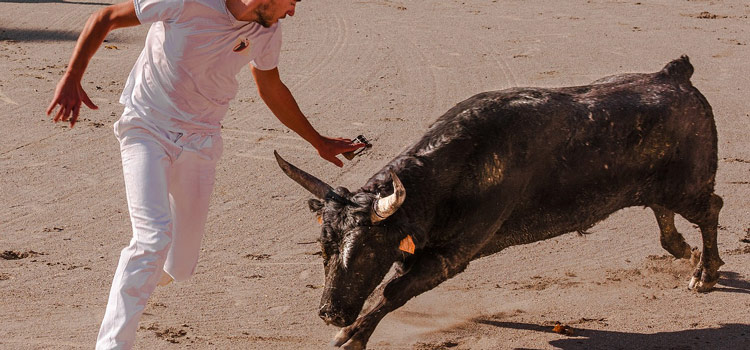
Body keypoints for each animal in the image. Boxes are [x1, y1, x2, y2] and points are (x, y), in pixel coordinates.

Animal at [274, 56, 724, 348]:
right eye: (323, 249)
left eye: (368, 251)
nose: (329, 313)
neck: (451, 171)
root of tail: (674, 75)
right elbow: (393, 285)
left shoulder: (452, 255)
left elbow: (393, 290)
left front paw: (351, 336)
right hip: (660, 187)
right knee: (667, 218)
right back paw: (687, 255)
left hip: (689, 186)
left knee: (711, 209)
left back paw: (705, 273)